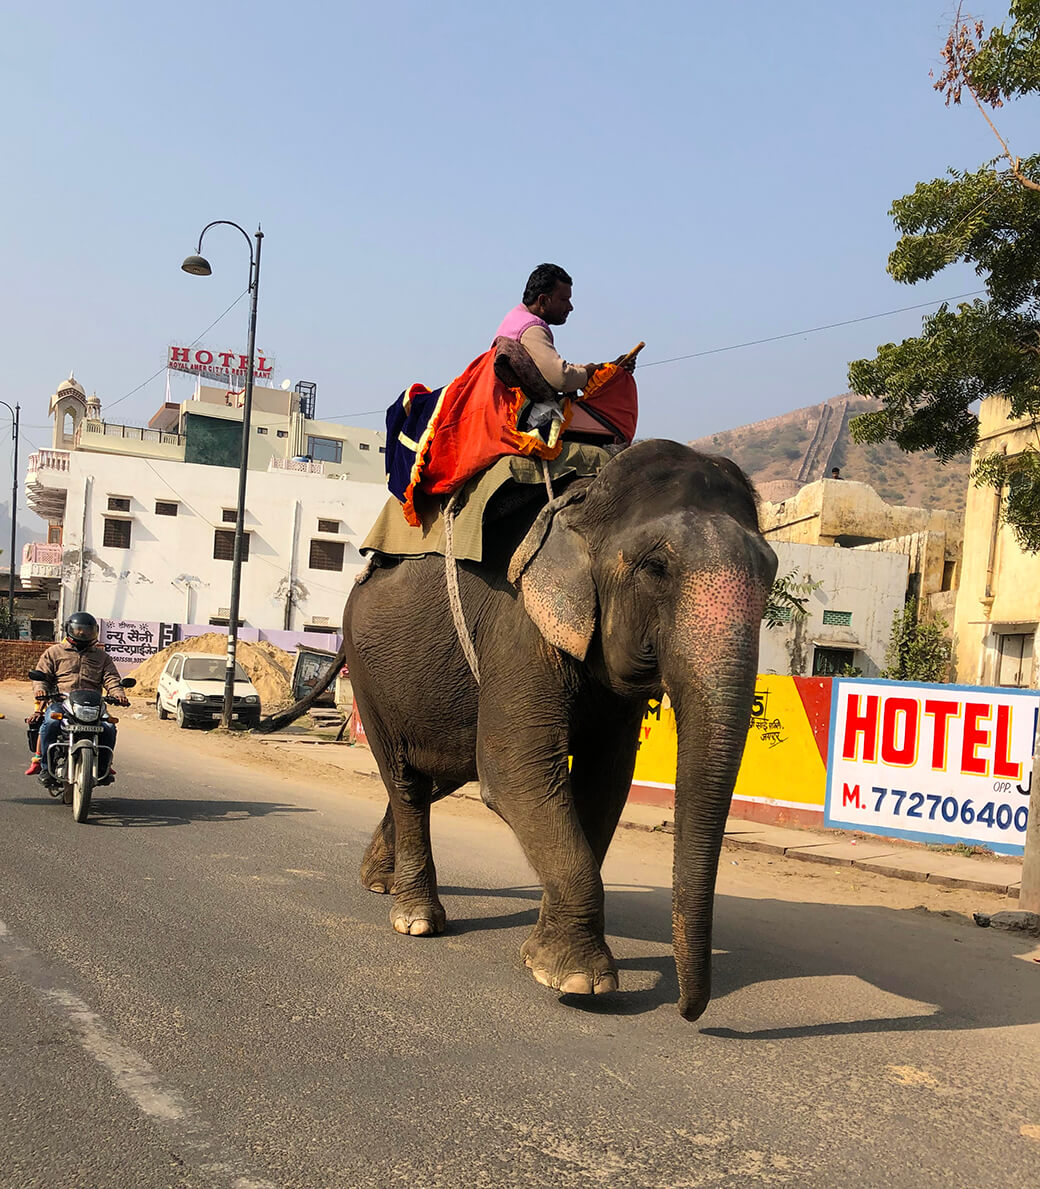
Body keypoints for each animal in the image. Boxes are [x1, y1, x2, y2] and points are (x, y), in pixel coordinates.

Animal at [272, 442, 774, 1017]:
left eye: (772, 574)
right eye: (656, 568)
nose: (688, 1011)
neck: (585, 501)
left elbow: (605, 782)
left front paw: (547, 959)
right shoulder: (519, 632)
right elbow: (516, 773)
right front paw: (580, 982)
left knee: (439, 775)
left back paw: (378, 881)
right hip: (368, 672)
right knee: (405, 777)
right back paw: (416, 919)